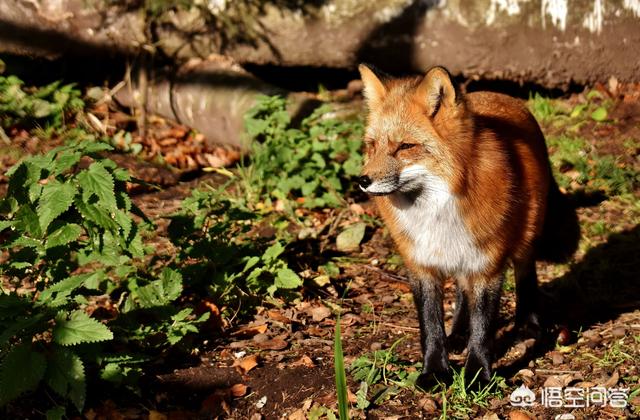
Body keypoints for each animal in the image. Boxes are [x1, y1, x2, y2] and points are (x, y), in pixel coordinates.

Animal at [358, 65, 576, 384]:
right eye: (372, 146)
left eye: (406, 146)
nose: (362, 181)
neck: (438, 211)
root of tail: (499, 94)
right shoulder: (421, 264)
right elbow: (430, 325)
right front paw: (435, 371)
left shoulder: (488, 265)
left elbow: (483, 327)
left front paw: (478, 375)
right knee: (462, 291)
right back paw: (459, 334)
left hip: (525, 238)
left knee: (526, 277)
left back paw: (526, 325)